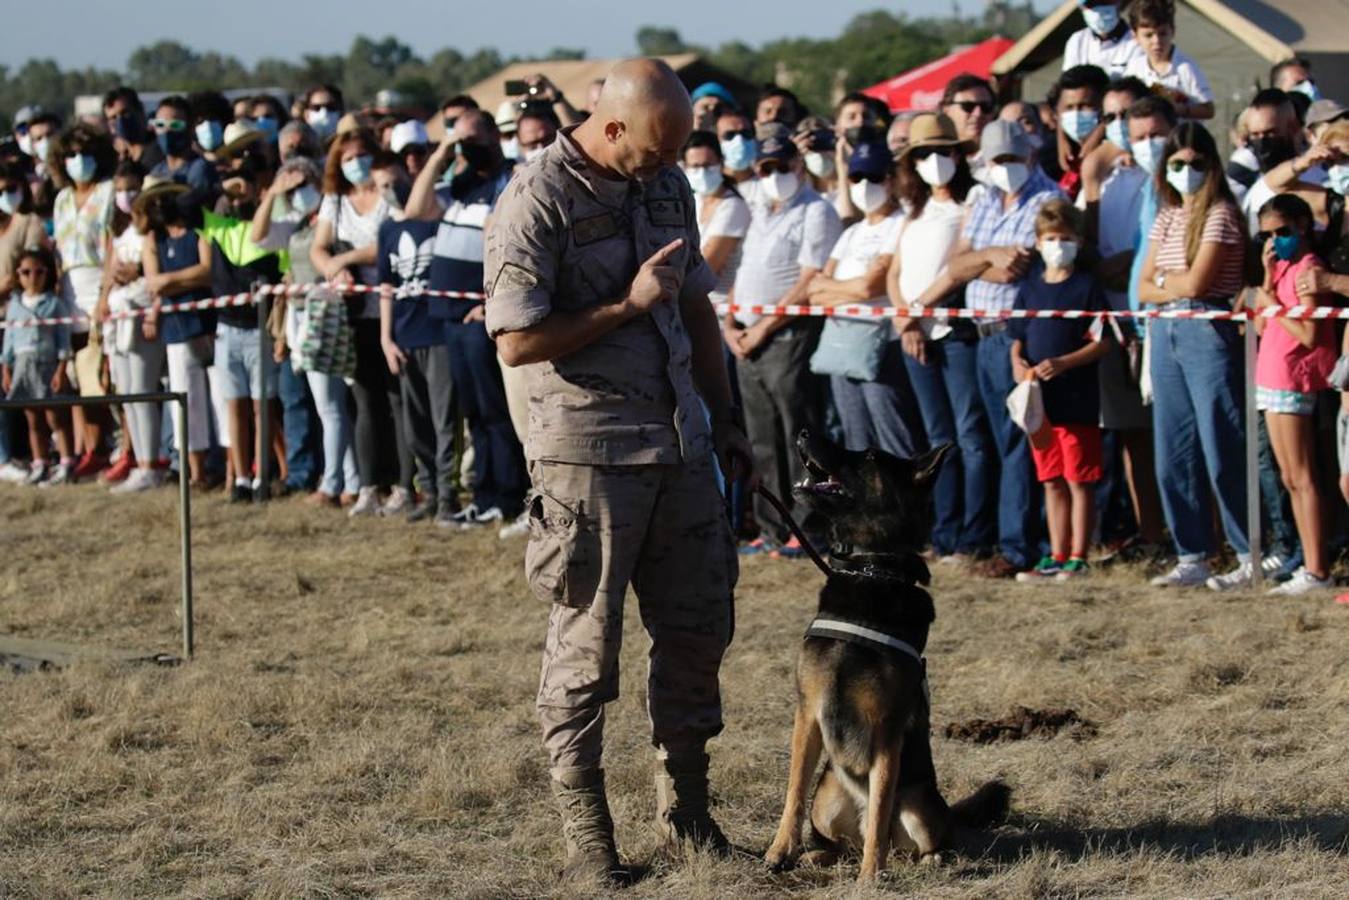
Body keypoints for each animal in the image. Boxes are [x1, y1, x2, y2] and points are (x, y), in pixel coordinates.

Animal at [766, 431, 1009, 885]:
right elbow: (793, 789)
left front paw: (869, 878)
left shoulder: (886, 730)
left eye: (871, 456)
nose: (804, 433)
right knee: (842, 842)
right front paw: (780, 851)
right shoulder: (807, 713)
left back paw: (926, 859)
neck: (870, 572)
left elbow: (879, 809)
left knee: (916, 837)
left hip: (919, 806)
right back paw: (815, 856)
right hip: (827, 801)